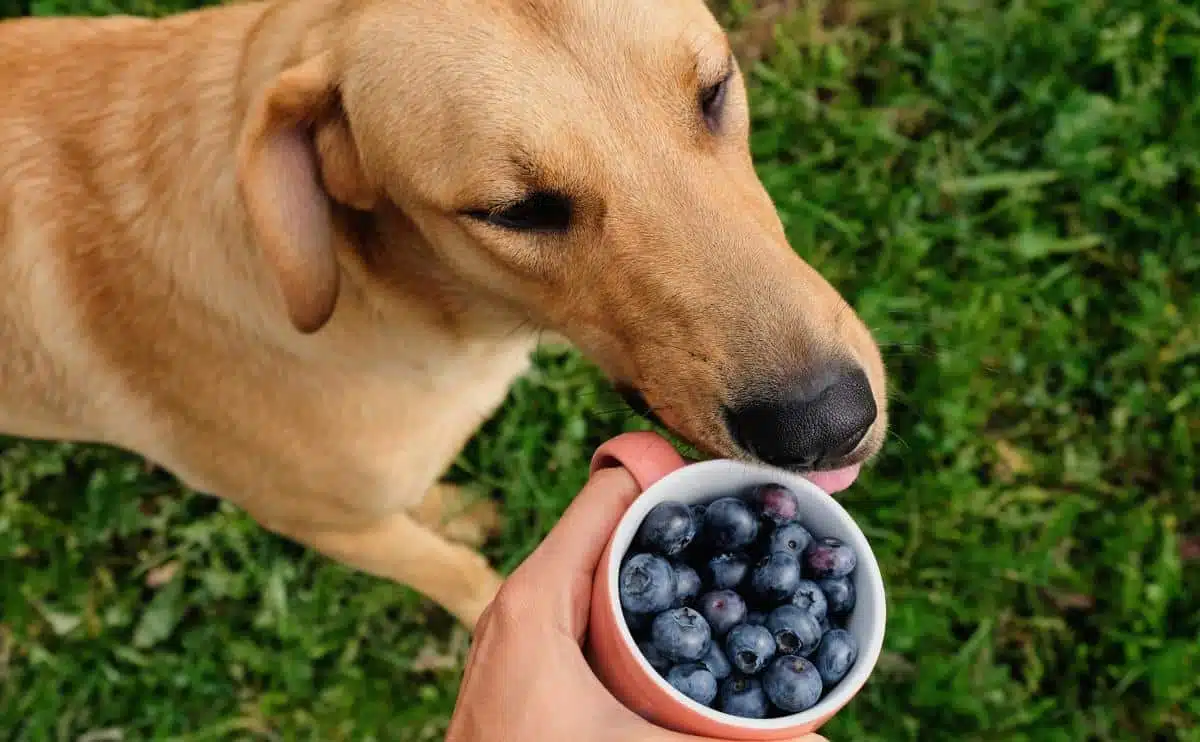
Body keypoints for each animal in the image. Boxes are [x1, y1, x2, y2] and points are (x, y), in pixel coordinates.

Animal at [0, 0, 883, 629]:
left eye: (714, 90)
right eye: (517, 212)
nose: (828, 423)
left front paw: (448, 511)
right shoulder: (327, 527)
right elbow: (457, 576)